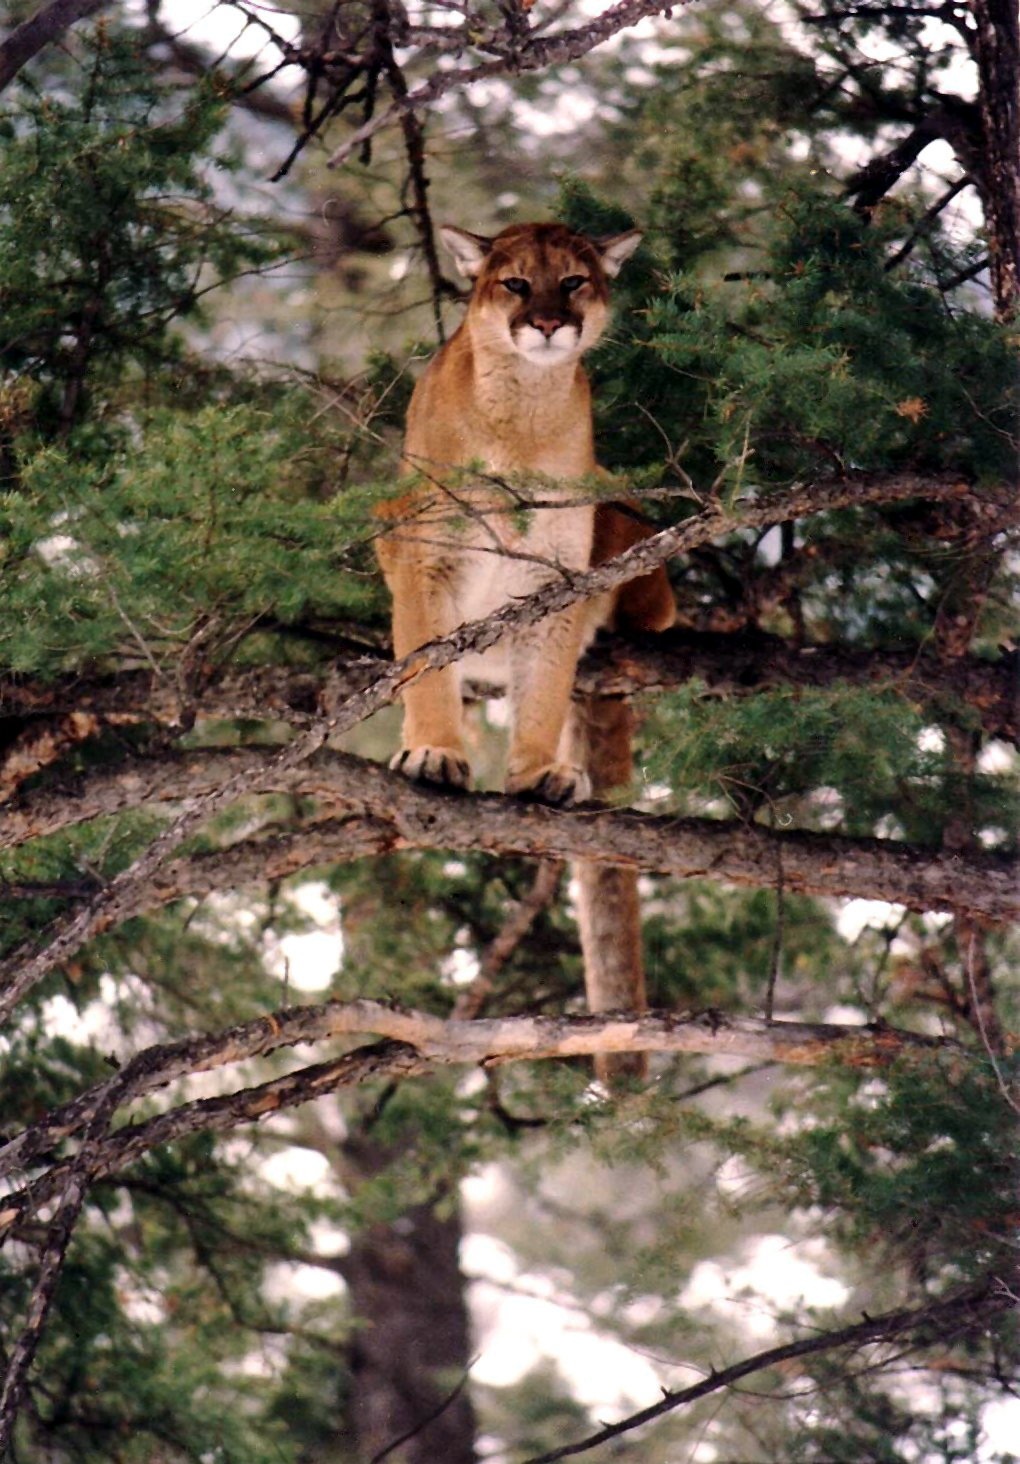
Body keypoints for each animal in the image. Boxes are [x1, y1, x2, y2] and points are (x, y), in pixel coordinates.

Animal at [377, 219, 673, 1089]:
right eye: (514, 283)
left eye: (573, 281)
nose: (546, 323)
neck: (523, 418)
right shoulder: (425, 557)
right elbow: (427, 666)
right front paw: (435, 753)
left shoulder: (561, 580)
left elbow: (542, 686)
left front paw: (539, 770)